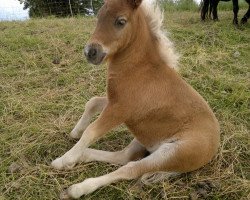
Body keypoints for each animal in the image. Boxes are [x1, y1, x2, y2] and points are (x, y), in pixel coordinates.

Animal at [51, 0, 220, 198]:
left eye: (121, 21)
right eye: (98, 17)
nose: (90, 52)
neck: (139, 69)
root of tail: (214, 148)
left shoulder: (120, 110)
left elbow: (91, 131)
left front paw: (65, 160)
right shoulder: (114, 101)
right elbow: (91, 102)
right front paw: (75, 134)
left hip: (171, 154)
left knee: (131, 169)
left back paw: (77, 188)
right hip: (144, 138)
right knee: (123, 157)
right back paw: (83, 156)